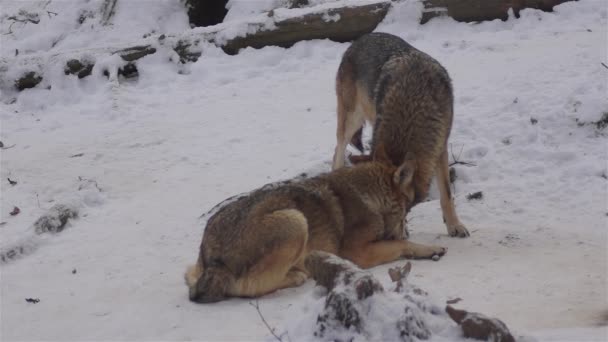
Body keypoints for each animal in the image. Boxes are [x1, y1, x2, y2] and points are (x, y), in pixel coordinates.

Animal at [185, 155, 446, 302]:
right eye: (407, 211)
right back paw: (299, 275)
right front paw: (430, 249)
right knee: (249, 288)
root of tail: (213, 260)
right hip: (296, 220)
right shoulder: (357, 253)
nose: (404, 228)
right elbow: (401, 244)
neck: (369, 196)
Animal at [332, 32, 470, 238]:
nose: (386, 237)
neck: (413, 102)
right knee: (338, 151)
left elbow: (446, 193)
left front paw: (454, 225)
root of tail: (360, 39)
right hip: (351, 121)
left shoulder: (440, 146)